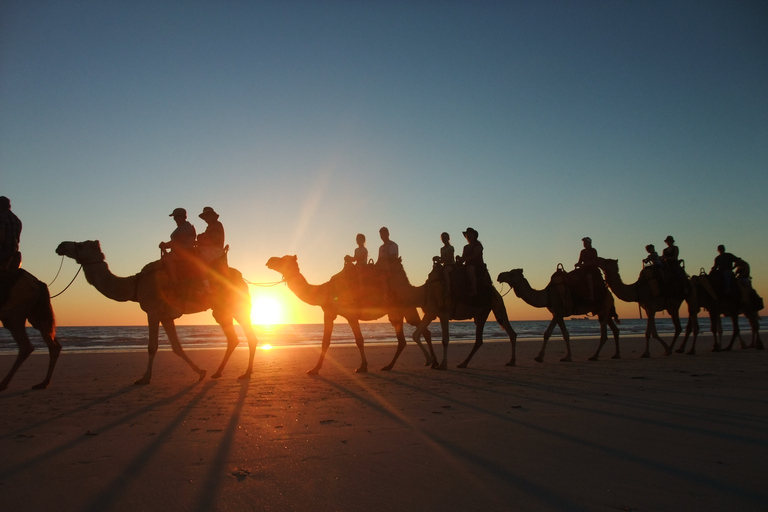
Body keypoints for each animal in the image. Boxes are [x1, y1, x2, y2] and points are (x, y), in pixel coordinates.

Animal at [55, 241, 258, 384]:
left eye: (81, 244)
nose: (61, 245)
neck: (135, 285)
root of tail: (242, 279)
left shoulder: (152, 311)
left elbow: (152, 346)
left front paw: (144, 378)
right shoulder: (166, 316)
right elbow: (176, 347)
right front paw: (201, 372)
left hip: (236, 305)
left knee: (250, 336)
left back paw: (246, 373)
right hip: (221, 310)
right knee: (233, 338)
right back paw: (217, 372)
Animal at [266, 254, 432, 374]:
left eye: (284, 259)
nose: (270, 260)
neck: (325, 291)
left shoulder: (350, 314)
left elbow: (359, 340)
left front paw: (363, 366)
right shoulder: (329, 313)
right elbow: (325, 341)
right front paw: (314, 369)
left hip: (403, 310)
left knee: (413, 335)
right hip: (401, 312)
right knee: (414, 335)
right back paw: (422, 362)